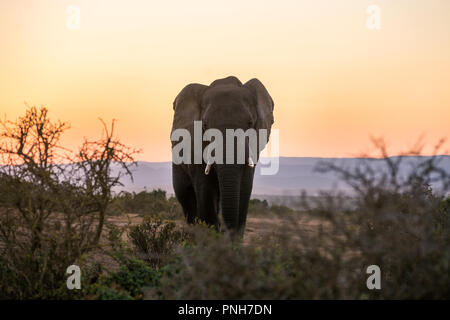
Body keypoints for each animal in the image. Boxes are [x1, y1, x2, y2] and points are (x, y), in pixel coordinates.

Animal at [170, 75, 272, 235]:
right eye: (205, 125)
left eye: (250, 123)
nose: (225, 231)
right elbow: (205, 190)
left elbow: (244, 189)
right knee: (187, 198)